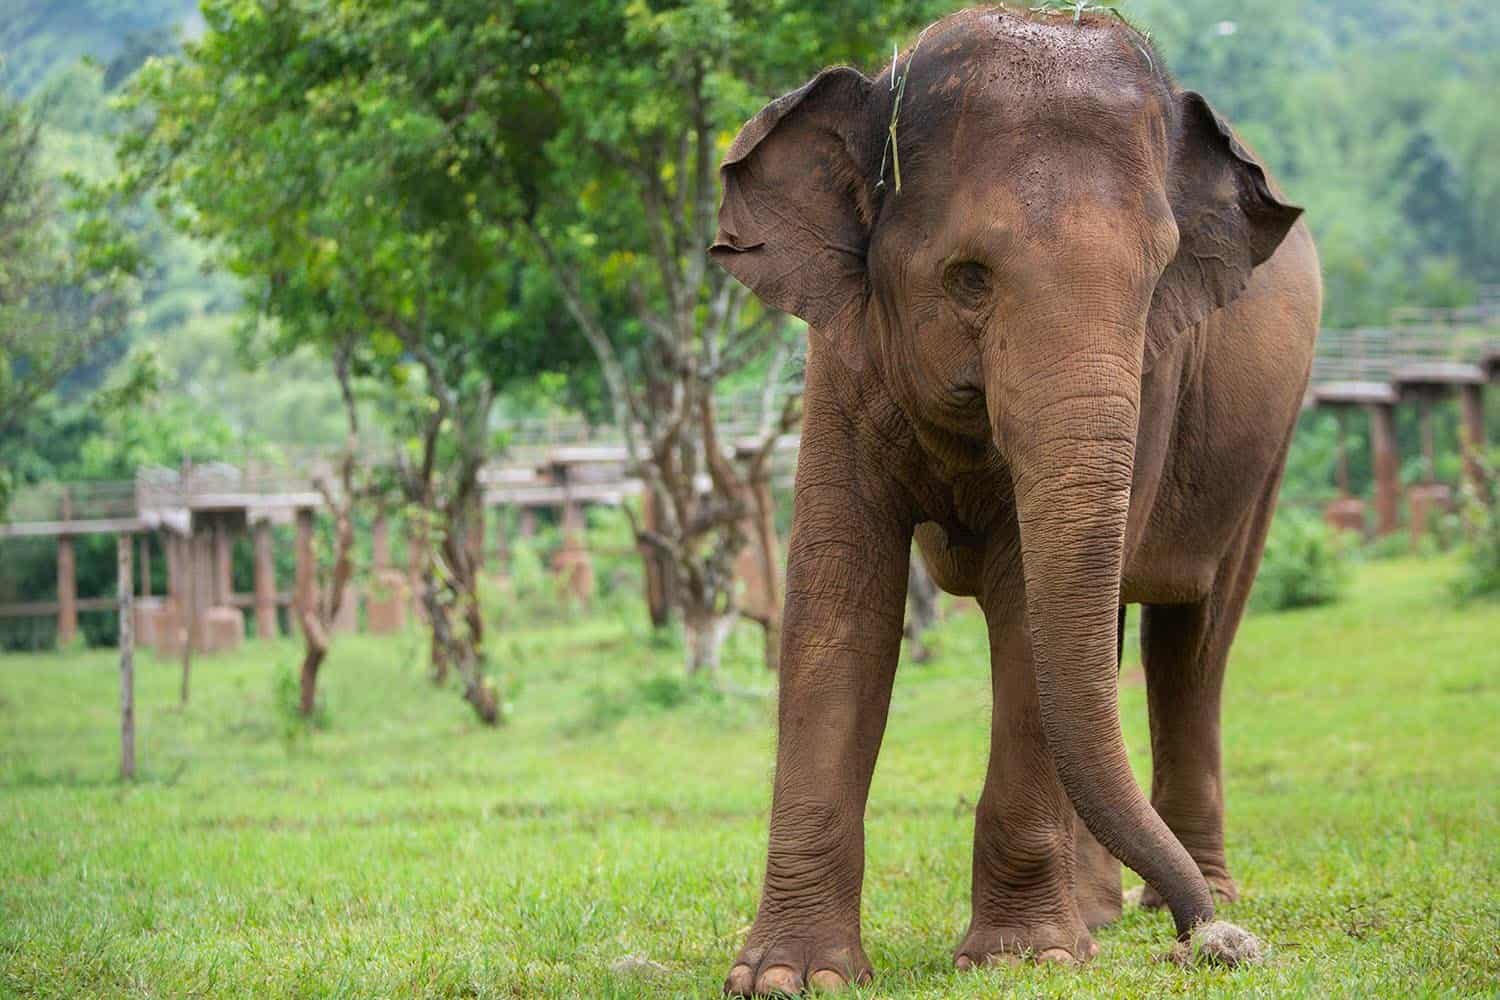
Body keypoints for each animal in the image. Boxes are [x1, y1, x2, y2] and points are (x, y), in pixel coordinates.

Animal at [708, 5, 1322, 996]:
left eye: (1157, 279)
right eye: (969, 276)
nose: (1212, 945)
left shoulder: (1153, 371)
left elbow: (1027, 600)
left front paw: (1028, 957)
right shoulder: (840, 356)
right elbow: (840, 598)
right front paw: (788, 977)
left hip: (1271, 437)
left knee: (1193, 636)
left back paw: (1177, 896)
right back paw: (1117, 913)